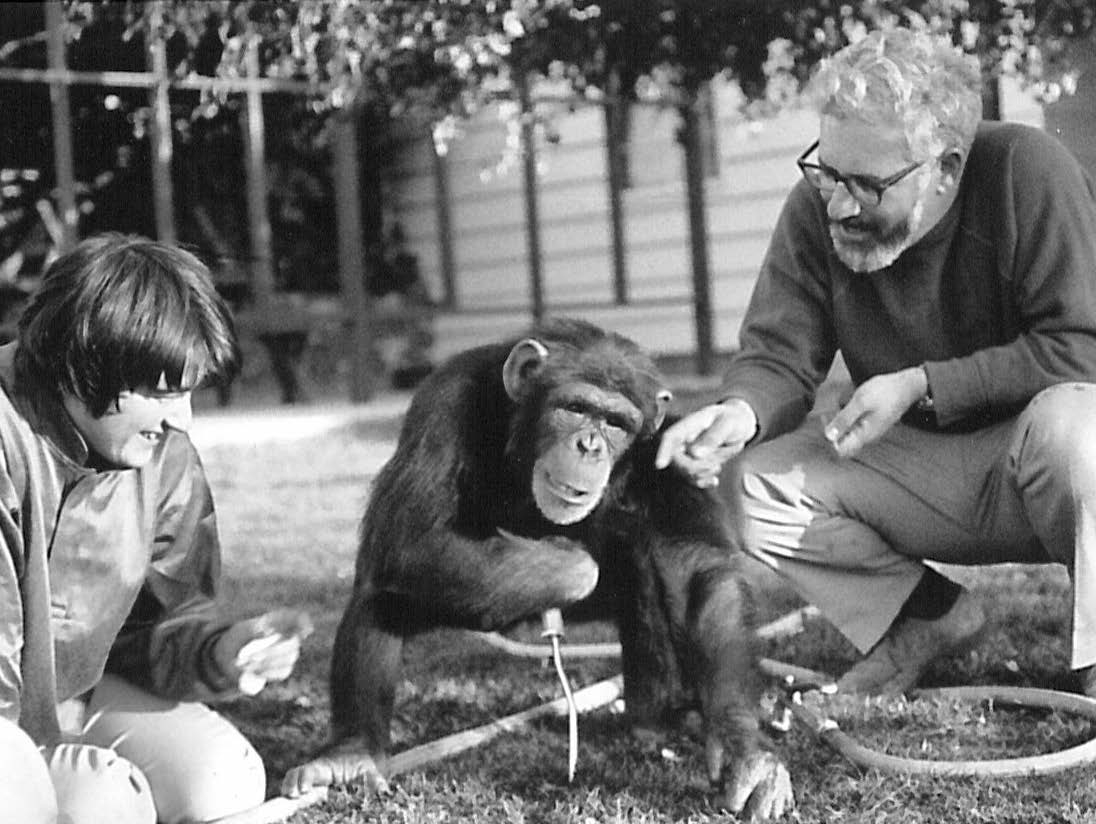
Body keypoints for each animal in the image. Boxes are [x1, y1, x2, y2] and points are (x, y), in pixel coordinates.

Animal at [280, 317, 797, 819]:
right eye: (574, 408)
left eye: (617, 424)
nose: (589, 445)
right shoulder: (443, 404)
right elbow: (409, 537)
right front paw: (568, 562)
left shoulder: (669, 454)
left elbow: (697, 577)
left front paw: (743, 752)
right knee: (381, 589)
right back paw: (350, 753)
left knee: (646, 569)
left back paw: (658, 720)